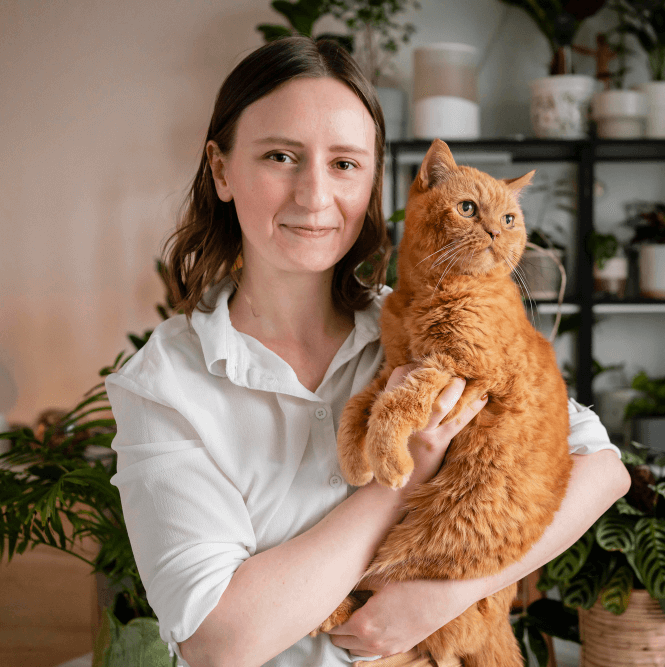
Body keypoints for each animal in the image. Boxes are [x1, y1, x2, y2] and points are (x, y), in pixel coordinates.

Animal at [316, 138, 572, 664]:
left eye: (509, 218)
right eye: (468, 208)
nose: (495, 230)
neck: (425, 296)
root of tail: (503, 622)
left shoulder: (457, 370)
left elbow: (395, 407)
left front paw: (388, 461)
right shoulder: (393, 366)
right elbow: (359, 407)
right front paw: (356, 460)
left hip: (406, 566)